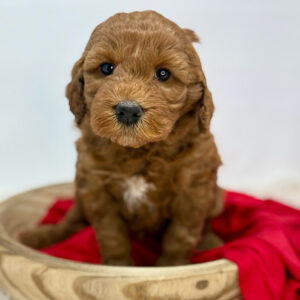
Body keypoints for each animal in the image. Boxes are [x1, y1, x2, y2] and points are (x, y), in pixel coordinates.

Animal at [20, 10, 223, 266]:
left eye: (163, 74)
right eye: (107, 68)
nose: (128, 110)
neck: (139, 150)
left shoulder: (193, 190)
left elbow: (180, 236)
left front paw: (171, 266)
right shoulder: (95, 186)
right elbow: (111, 234)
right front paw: (118, 265)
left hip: (217, 198)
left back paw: (211, 242)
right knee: (73, 220)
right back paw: (40, 236)